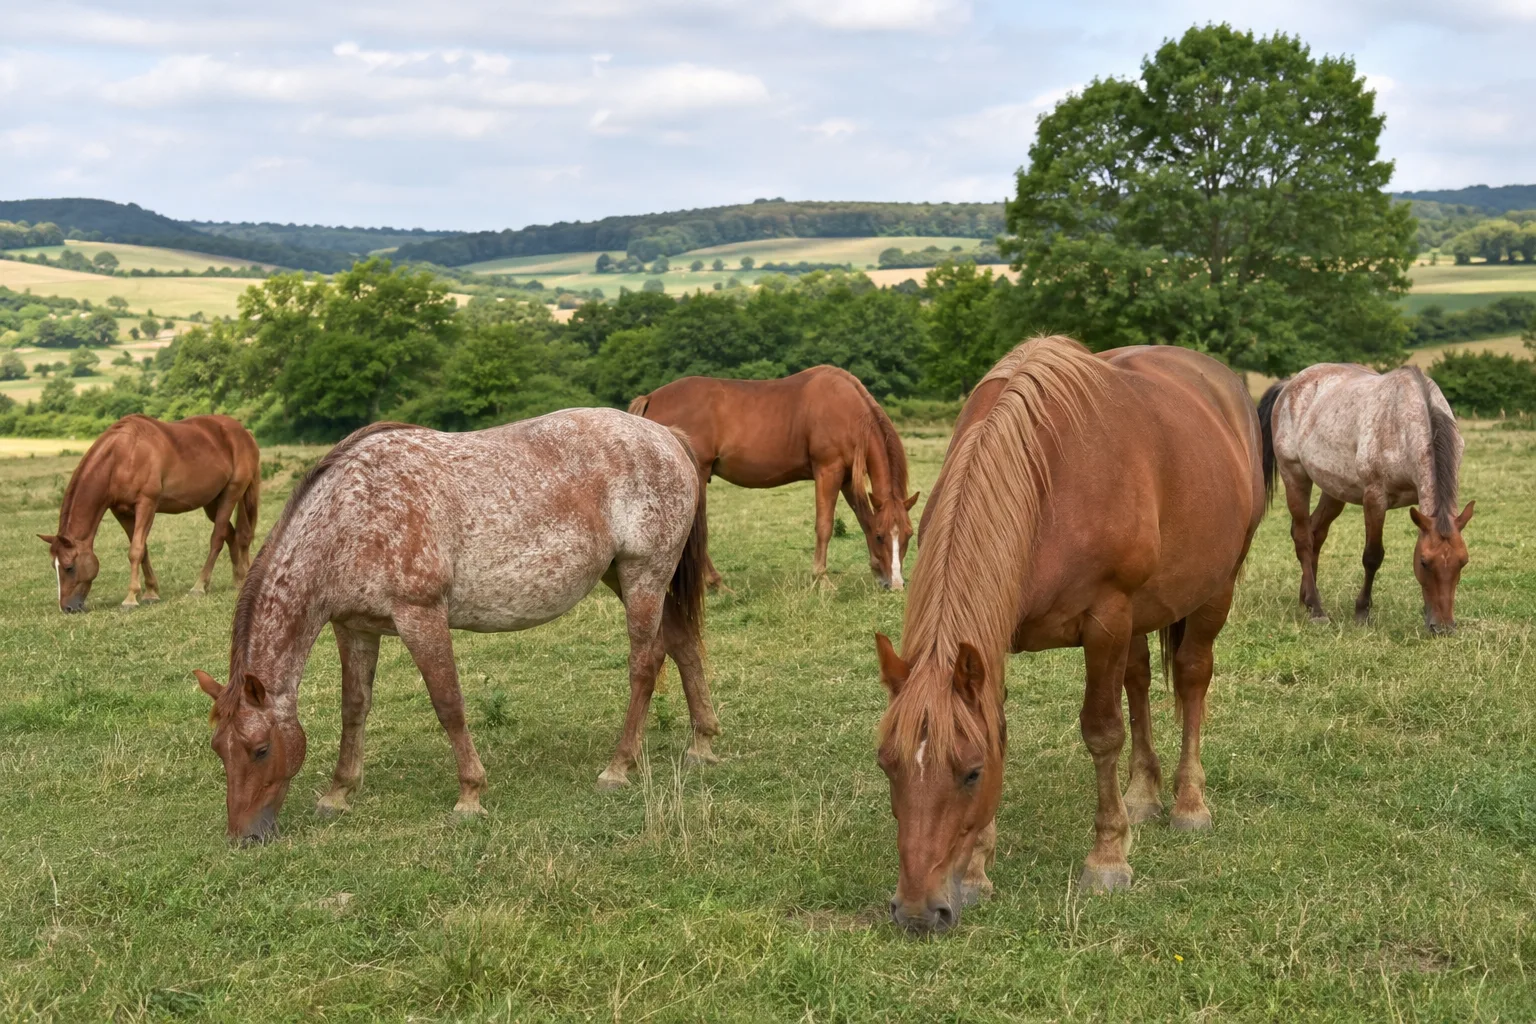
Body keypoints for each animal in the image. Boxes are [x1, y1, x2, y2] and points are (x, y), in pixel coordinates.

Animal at [40, 414, 260, 613]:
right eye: (53, 566)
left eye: (69, 567)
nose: (67, 608)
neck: (123, 456)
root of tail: (245, 433)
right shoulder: (122, 513)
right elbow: (142, 549)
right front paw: (151, 593)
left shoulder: (147, 504)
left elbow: (135, 550)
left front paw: (130, 599)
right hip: (213, 502)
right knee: (232, 534)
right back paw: (239, 579)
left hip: (231, 493)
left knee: (218, 538)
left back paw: (199, 586)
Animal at [192, 408, 717, 844]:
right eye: (220, 749)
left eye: (260, 749)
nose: (244, 836)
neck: (353, 516)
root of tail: (666, 436)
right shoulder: (354, 628)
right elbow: (354, 708)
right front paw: (338, 793)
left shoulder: (420, 615)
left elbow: (448, 705)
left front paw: (470, 795)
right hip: (625, 576)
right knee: (683, 645)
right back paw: (703, 744)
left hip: (644, 574)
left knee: (645, 663)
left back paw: (618, 767)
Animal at [628, 366, 918, 590]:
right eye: (882, 537)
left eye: (908, 534)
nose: (896, 584)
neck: (848, 410)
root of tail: (651, 398)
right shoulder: (828, 470)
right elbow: (824, 526)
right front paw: (821, 579)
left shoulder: (847, 479)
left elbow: (864, 519)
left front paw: (877, 572)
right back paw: (714, 583)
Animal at [873, 337, 1264, 933]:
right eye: (886, 764)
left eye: (971, 773)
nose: (918, 912)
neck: (1044, 482)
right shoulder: (995, 644)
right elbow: (1001, 727)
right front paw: (976, 874)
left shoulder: (1107, 618)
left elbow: (1102, 733)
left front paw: (1107, 859)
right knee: (1139, 682)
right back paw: (1141, 794)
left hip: (1214, 590)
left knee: (1193, 678)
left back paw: (1188, 804)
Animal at [1258, 363, 1473, 633]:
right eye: (1424, 562)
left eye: (1463, 562)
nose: (1443, 628)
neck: (1403, 423)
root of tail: (1289, 385)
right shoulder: (1375, 498)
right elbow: (1372, 556)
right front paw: (1362, 611)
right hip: (1295, 477)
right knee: (1303, 538)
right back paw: (1316, 608)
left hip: (1333, 490)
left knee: (1316, 532)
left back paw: (1306, 597)